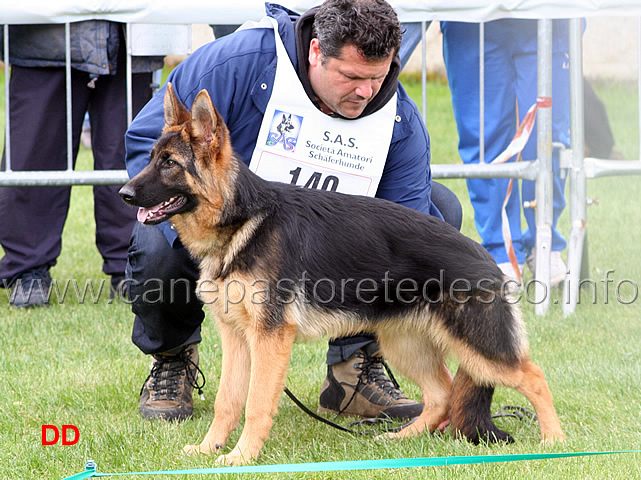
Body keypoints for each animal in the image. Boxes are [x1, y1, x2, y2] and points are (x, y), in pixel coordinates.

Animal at [117, 82, 564, 464]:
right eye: (151, 158)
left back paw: (555, 442)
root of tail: (486, 255)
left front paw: (241, 457)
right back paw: (399, 438)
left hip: (478, 348)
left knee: (534, 376)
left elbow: (256, 402)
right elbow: (228, 400)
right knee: (443, 393)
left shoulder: (269, 339)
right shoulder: (237, 337)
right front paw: (211, 449)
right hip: (405, 344)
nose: (124, 194)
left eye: (170, 164)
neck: (243, 219)